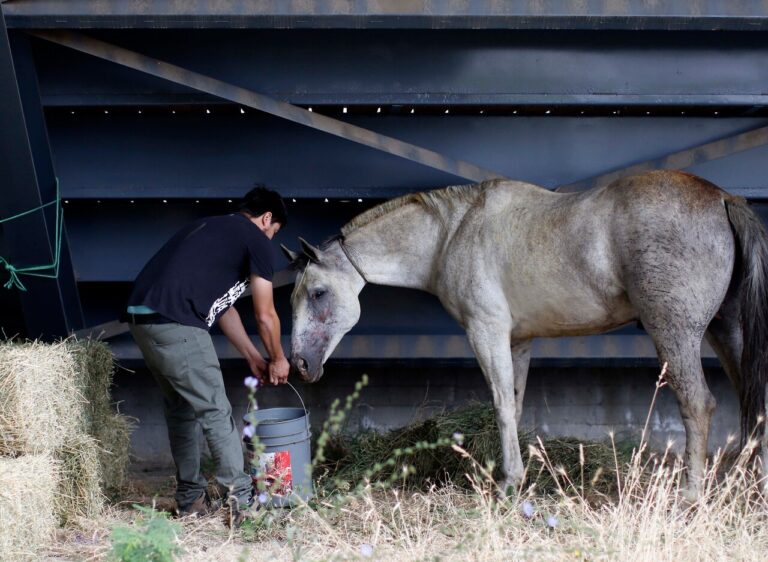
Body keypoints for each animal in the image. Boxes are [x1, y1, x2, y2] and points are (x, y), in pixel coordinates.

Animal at [281, 170, 768, 496]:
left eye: (319, 293)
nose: (300, 364)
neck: (450, 234)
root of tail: (722, 198)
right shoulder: (517, 341)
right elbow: (514, 406)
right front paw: (513, 477)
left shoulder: (487, 332)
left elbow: (500, 405)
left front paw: (508, 484)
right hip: (726, 332)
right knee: (751, 400)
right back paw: (746, 483)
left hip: (675, 334)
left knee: (698, 404)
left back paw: (691, 494)